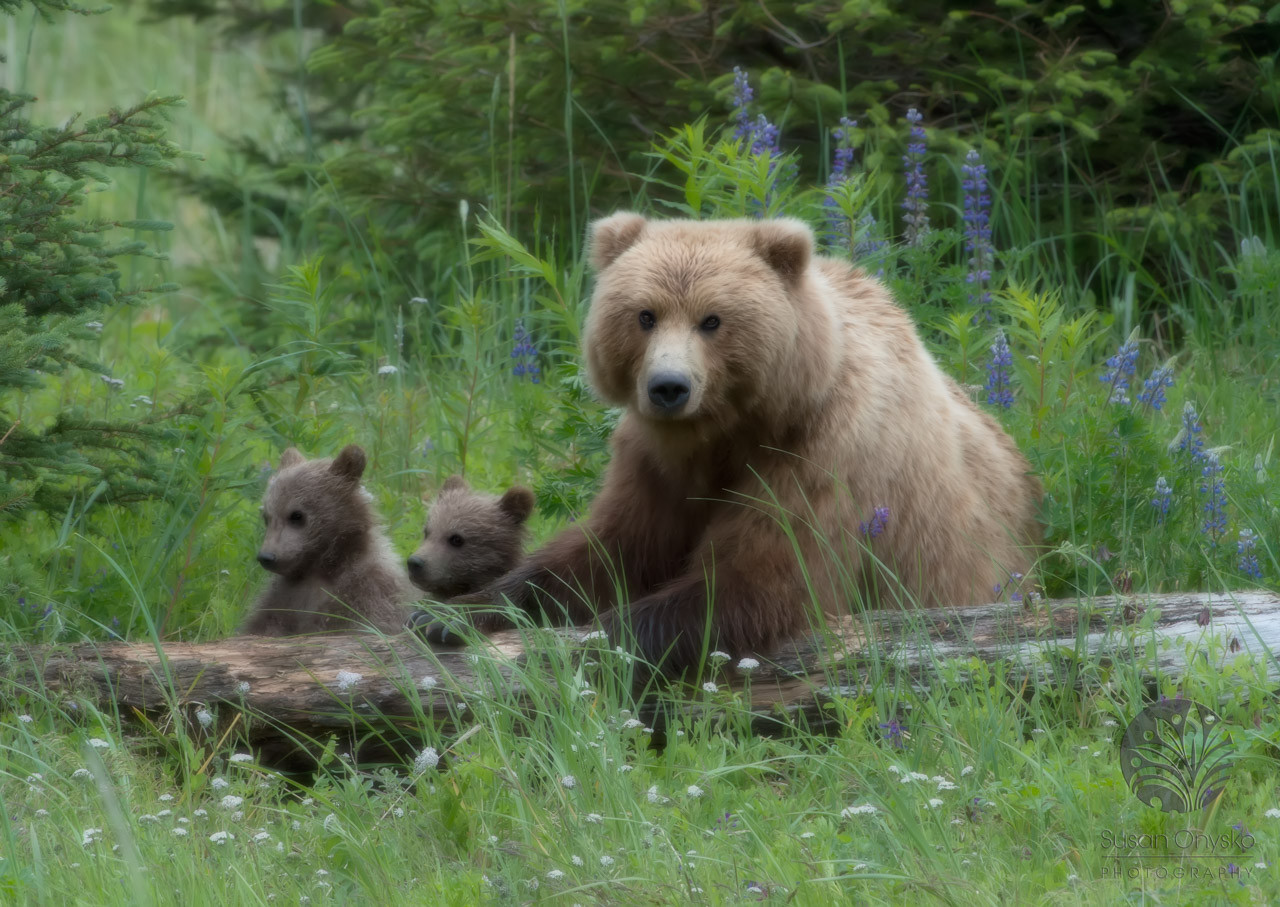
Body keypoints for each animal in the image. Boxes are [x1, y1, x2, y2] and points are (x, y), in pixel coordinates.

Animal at [409, 213, 1039, 670]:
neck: (729, 430)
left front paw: (596, 641)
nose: (668, 387)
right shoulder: (654, 464)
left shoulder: (822, 454)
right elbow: (607, 550)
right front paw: (453, 615)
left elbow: (759, 577)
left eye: (712, 319)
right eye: (645, 315)